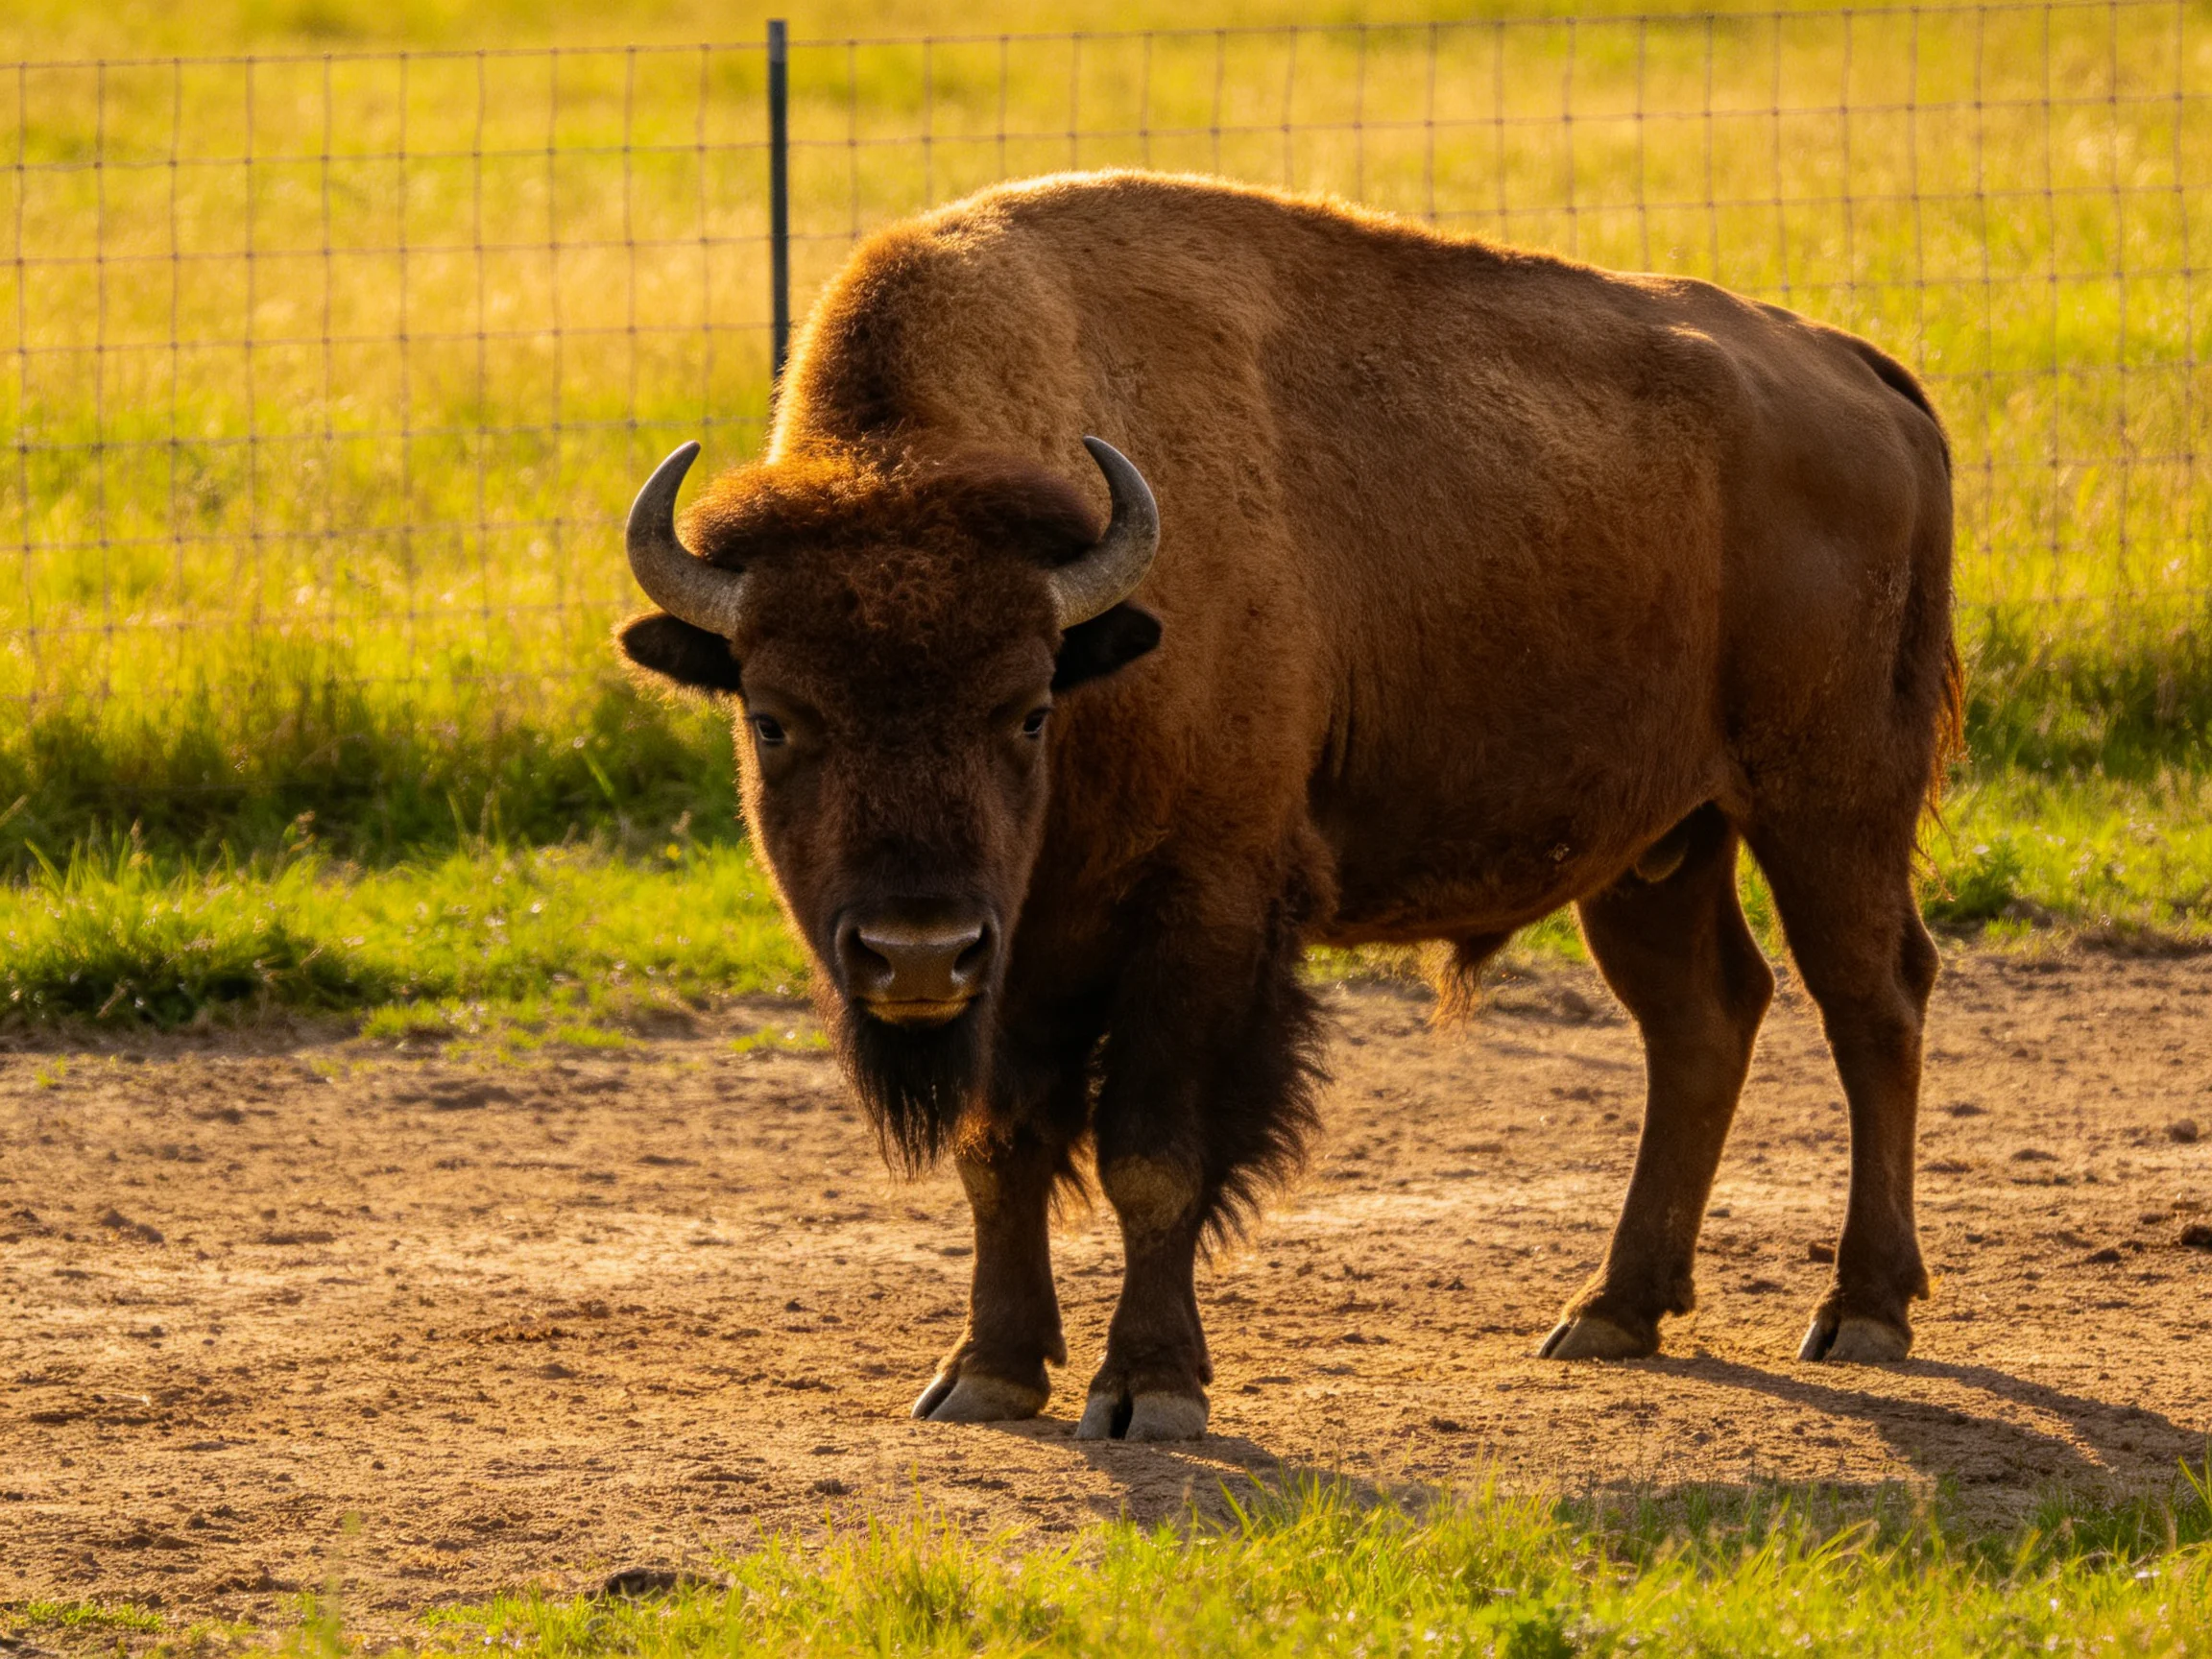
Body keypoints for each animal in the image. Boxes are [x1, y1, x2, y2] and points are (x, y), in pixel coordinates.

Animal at [618, 171, 1958, 1441]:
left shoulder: (1202, 910)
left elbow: (1153, 1159)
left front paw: (1147, 1389)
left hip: (1828, 804)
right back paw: (1612, 1312)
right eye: (774, 718)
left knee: (1871, 1001)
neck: (1101, 636)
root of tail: (1858, 372)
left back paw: (1861, 1310)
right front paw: (986, 1374)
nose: (912, 953)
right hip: (1656, 850)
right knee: (1703, 1019)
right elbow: (1001, 1148)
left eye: (1027, 710)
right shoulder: (1022, 955)